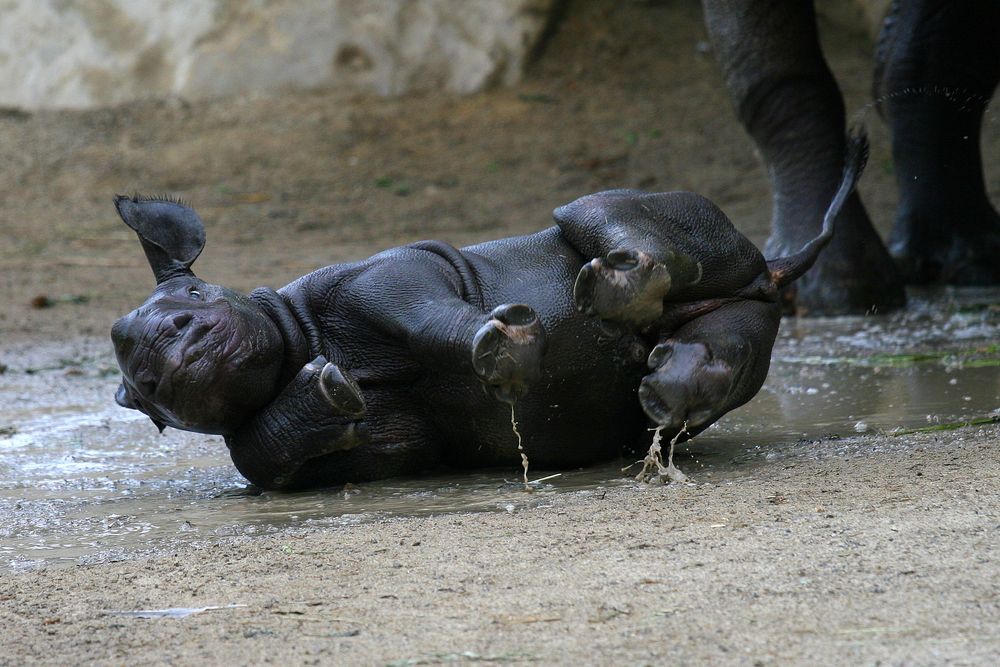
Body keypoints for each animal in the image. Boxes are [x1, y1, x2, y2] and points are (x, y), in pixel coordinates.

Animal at [111, 130, 868, 490]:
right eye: (144, 390)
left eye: (194, 298)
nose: (174, 338)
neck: (296, 335)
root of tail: (771, 270)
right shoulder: (287, 450)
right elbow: (269, 446)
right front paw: (330, 393)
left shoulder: (395, 271)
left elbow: (419, 310)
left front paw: (505, 351)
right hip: (752, 304)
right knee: (728, 340)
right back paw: (665, 388)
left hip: (689, 223)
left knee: (593, 209)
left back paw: (617, 298)